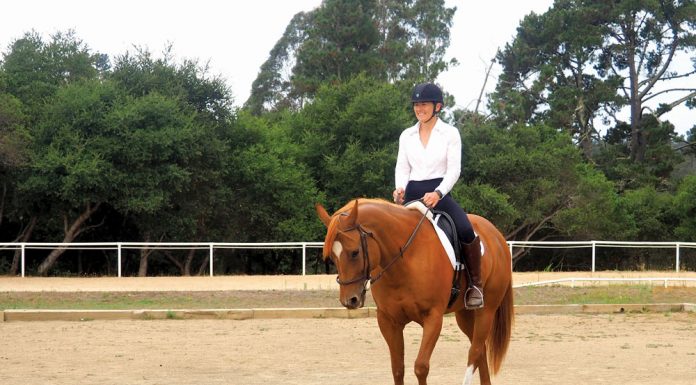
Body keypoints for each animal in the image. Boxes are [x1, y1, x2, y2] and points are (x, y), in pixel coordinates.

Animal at [316, 198, 512, 384]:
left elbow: (421, 367)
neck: (404, 261)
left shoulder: (433, 318)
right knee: (480, 350)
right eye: (332, 256)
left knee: (475, 350)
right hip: (464, 314)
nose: (350, 300)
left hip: (486, 311)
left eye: (355, 252)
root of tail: (496, 234)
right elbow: (397, 368)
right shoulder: (388, 321)